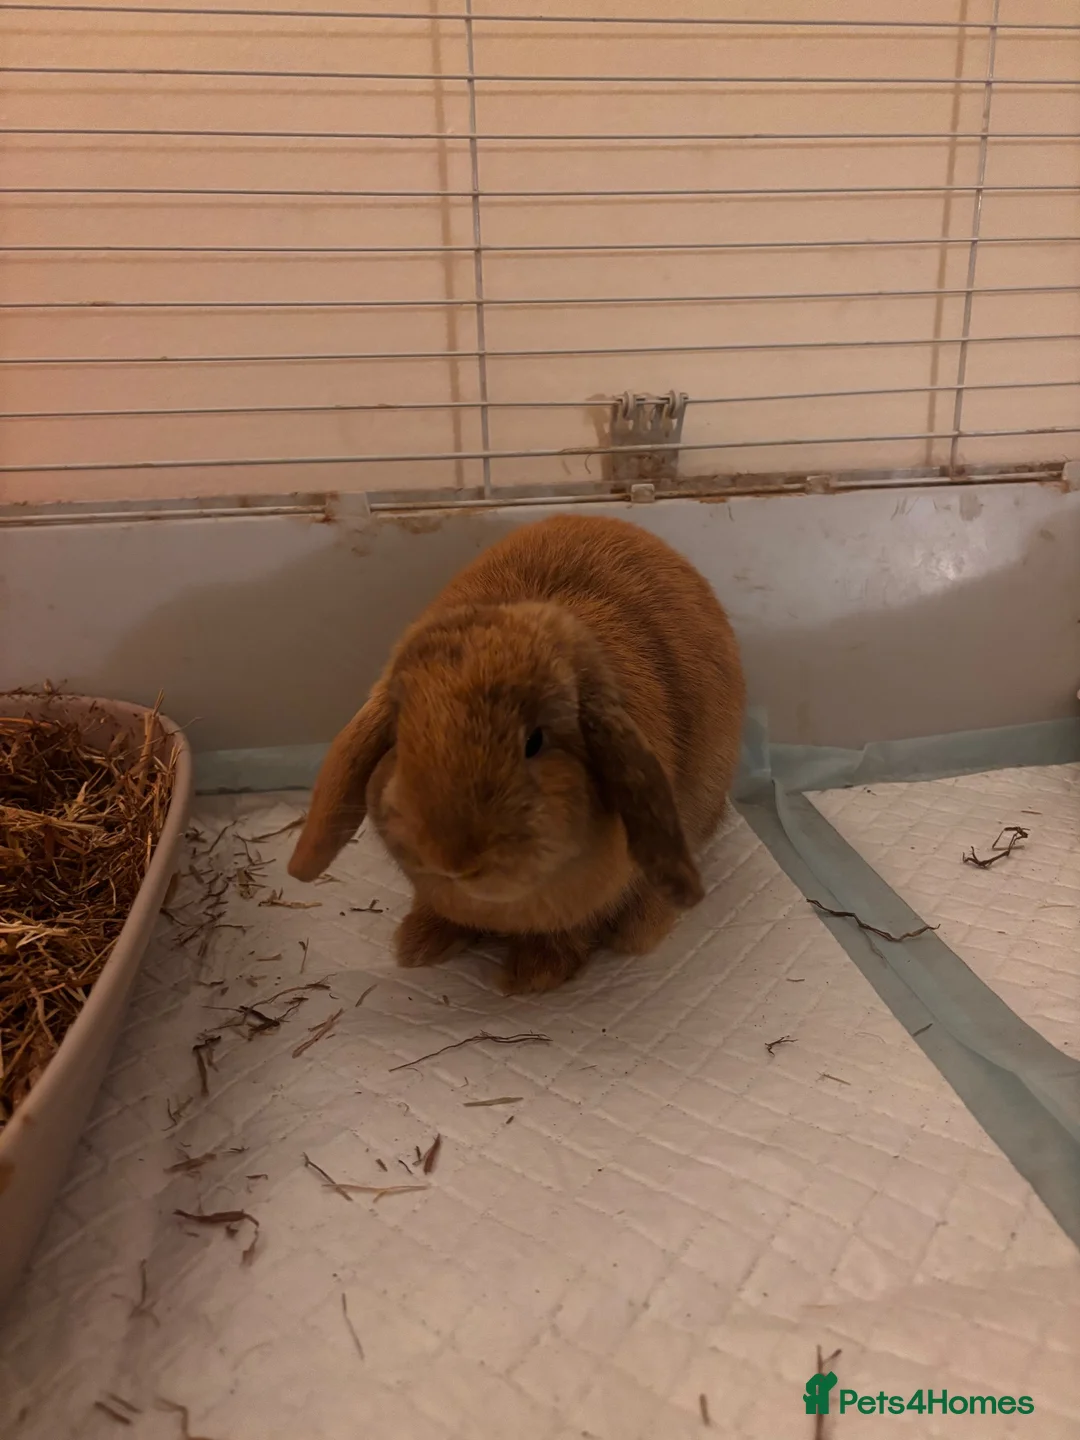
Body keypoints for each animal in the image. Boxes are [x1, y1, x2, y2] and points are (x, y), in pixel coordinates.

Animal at [288, 514, 746, 994]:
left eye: (534, 742)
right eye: (402, 735)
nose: (453, 858)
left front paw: (533, 975)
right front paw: (418, 944)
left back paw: (638, 931)